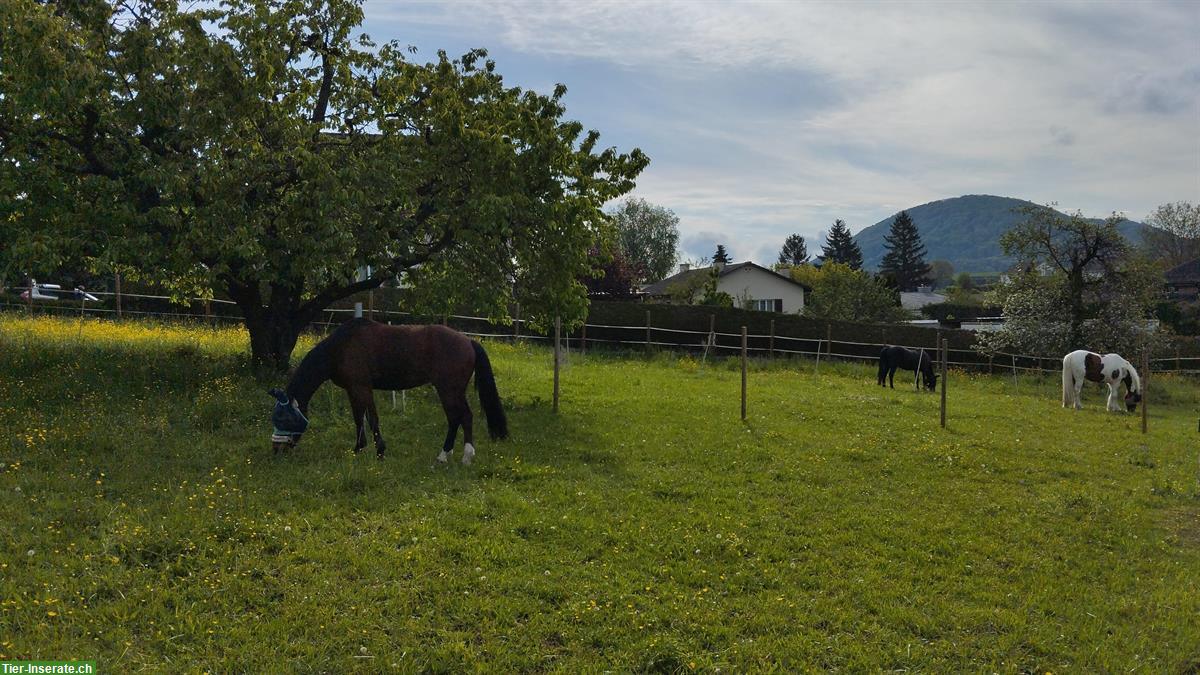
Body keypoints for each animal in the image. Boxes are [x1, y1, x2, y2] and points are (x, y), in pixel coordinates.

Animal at [267, 317, 506, 461]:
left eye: (284, 419)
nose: (276, 450)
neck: (341, 348)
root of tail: (468, 341)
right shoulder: (353, 390)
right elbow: (359, 419)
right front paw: (359, 448)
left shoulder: (363, 388)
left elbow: (372, 419)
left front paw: (380, 451)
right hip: (453, 391)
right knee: (457, 418)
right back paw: (447, 455)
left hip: (449, 390)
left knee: (462, 416)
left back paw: (460, 456)